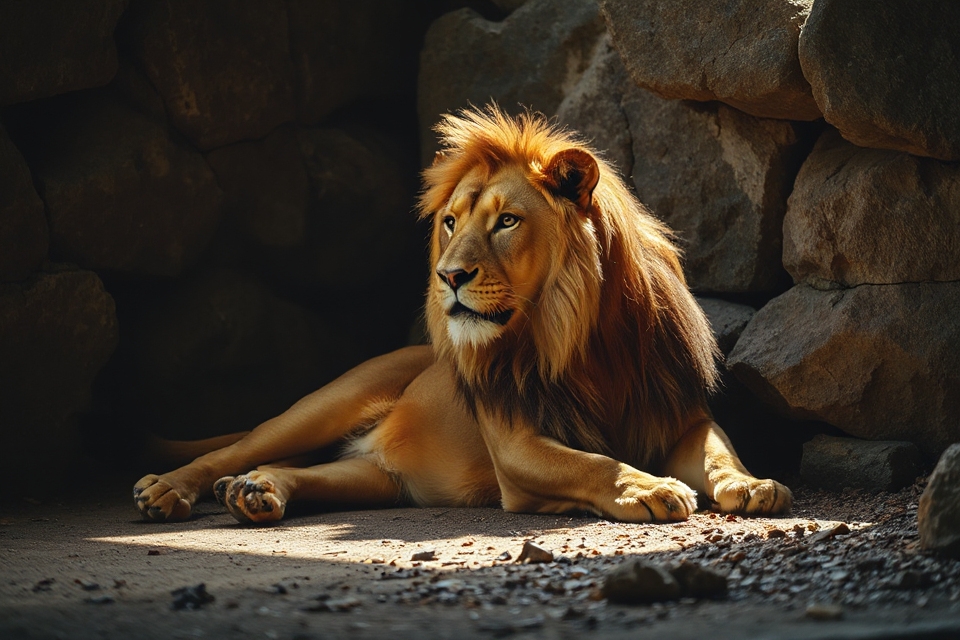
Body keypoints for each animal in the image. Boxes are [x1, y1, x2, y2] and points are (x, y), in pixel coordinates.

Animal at [134, 105, 791, 524]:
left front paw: (752, 484)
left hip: (377, 477)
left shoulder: (681, 415)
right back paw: (173, 490)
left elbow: (718, 452)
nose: (448, 276)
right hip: (330, 400)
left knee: (301, 469)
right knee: (239, 448)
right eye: (450, 222)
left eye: (507, 221)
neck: (582, 340)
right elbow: (596, 464)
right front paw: (650, 487)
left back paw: (255, 492)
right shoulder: (517, 449)